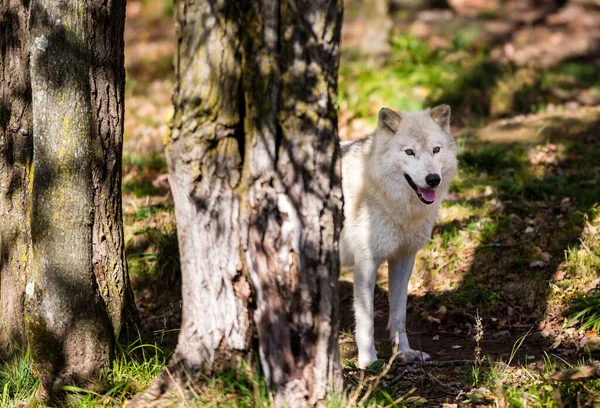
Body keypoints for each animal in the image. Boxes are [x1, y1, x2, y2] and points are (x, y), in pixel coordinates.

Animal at [340, 103, 458, 368]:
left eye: (436, 149)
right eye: (409, 152)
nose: (433, 180)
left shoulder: (404, 258)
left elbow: (399, 314)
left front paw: (404, 353)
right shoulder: (366, 263)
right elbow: (366, 319)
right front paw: (368, 361)